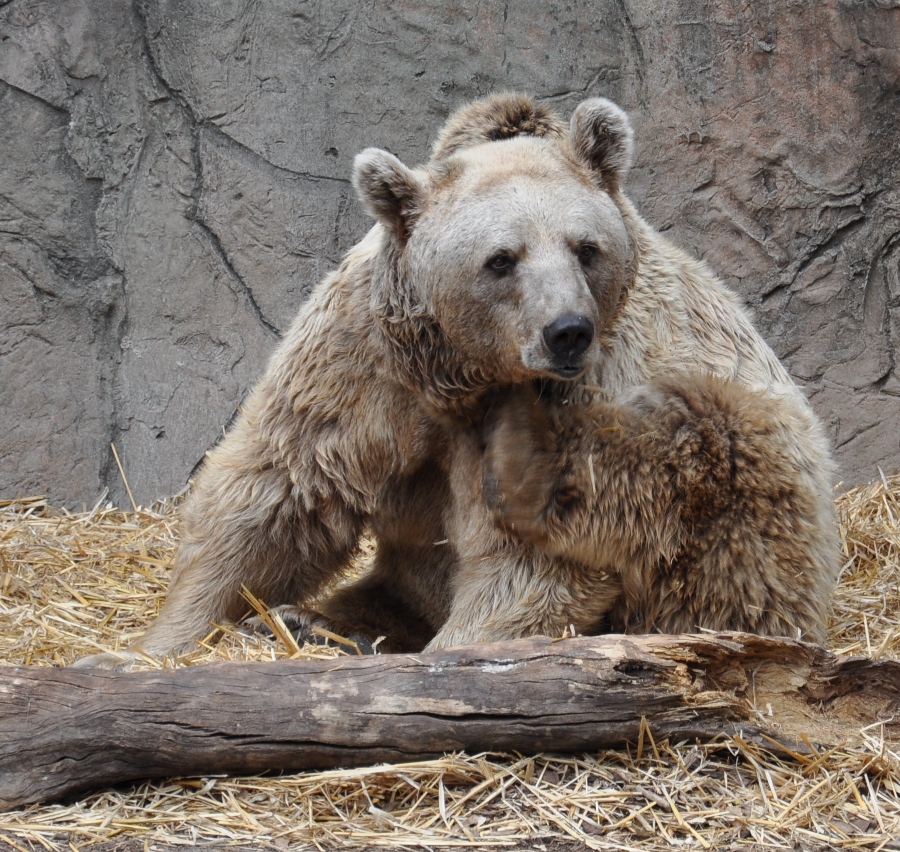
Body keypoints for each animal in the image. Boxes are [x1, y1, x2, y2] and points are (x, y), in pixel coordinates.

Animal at [74, 93, 839, 668]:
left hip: (744, 481)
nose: (567, 331)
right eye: (502, 259)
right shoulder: (363, 363)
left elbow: (534, 559)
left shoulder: (578, 408)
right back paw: (311, 622)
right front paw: (154, 644)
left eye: (585, 248)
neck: (462, 372)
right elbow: (279, 490)